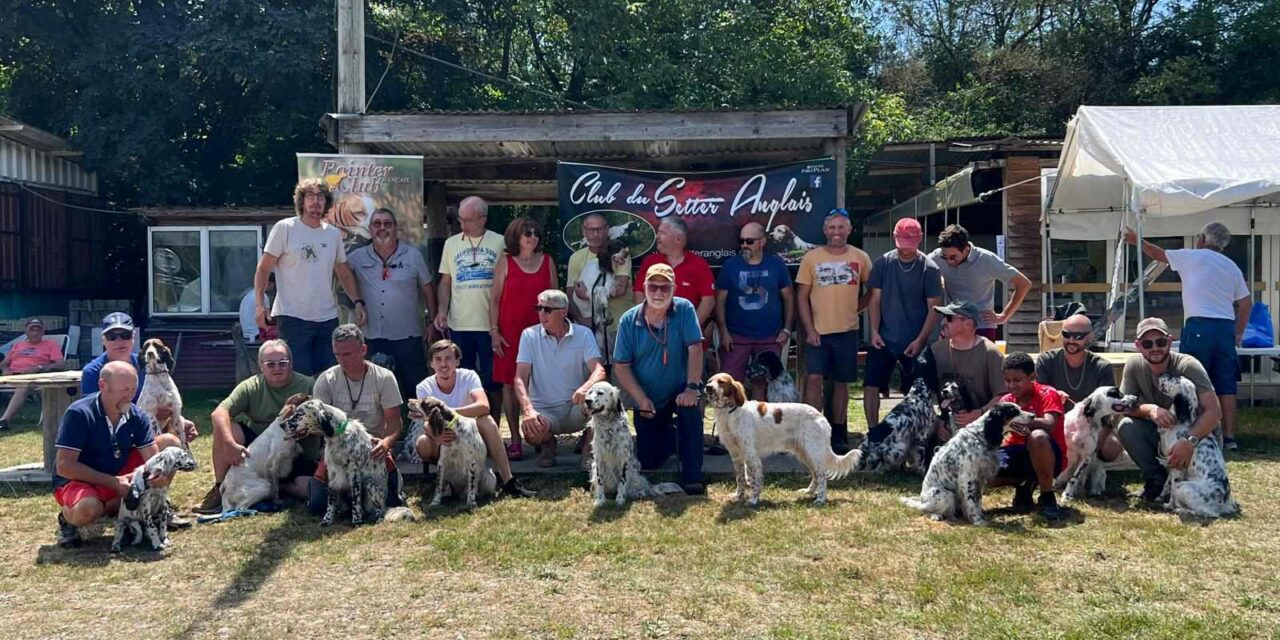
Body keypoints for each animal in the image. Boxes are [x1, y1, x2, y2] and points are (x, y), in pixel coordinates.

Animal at [706, 371, 855, 504]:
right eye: (709, 381)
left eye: (721, 382)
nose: (708, 387)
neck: (730, 411)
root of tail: (821, 416)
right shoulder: (736, 455)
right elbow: (740, 479)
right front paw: (738, 496)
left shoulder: (751, 455)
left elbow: (754, 481)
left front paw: (753, 500)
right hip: (805, 454)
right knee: (815, 475)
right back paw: (809, 491)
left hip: (814, 452)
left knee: (822, 476)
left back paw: (820, 499)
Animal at [896, 404, 1034, 524]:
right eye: (1014, 411)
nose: (1033, 415)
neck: (980, 436)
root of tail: (921, 500)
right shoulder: (968, 478)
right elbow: (971, 501)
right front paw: (977, 520)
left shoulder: (979, 479)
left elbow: (978, 501)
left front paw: (981, 515)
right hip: (945, 493)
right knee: (927, 509)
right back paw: (936, 515)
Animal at [1152, 373, 1239, 519]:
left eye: (1175, 378)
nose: (1163, 374)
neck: (1182, 421)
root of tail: (1224, 503)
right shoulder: (1171, 462)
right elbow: (1167, 484)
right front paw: (1160, 497)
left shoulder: (1177, 466)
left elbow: (1172, 491)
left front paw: (1169, 506)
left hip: (1183, 487)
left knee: (1209, 513)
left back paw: (1182, 510)